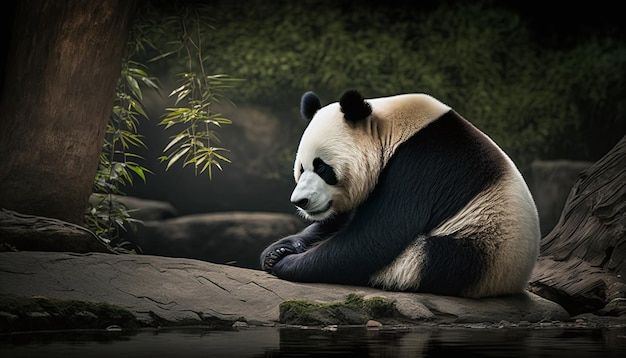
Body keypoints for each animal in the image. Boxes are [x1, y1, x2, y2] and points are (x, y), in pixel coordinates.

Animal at [258, 90, 536, 300]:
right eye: (301, 168)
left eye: (322, 168)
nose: (301, 202)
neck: (391, 129)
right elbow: (338, 221)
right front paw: (277, 250)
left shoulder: (421, 163)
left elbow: (378, 234)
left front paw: (287, 262)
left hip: (472, 252)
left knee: (411, 261)